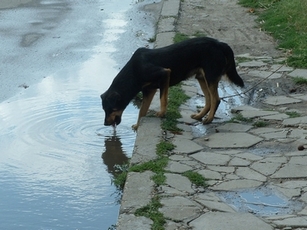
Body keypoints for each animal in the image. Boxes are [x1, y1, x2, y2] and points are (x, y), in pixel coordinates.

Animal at [101, 36, 245, 129]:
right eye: (104, 109)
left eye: (111, 109)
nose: (105, 124)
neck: (134, 71)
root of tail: (220, 44)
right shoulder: (149, 90)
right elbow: (142, 111)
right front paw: (137, 126)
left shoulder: (164, 74)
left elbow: (163, 99)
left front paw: (161, 114)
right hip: (202, 78)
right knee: (209, 99)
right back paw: (200, 116)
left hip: (210, 77)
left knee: (216, 99)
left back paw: (208, 120)